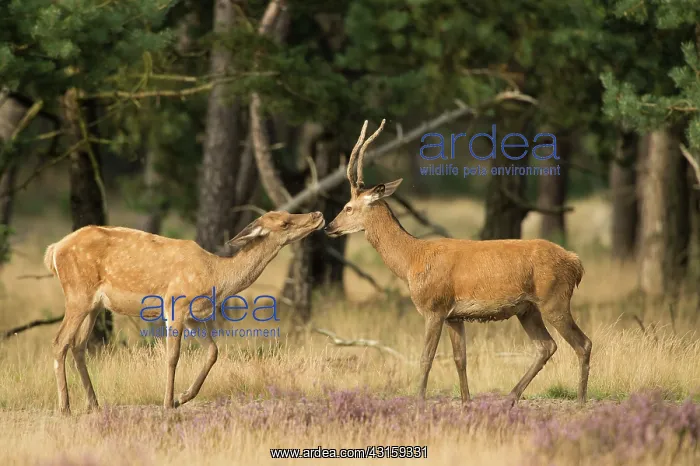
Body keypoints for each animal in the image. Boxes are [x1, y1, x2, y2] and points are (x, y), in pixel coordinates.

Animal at [43, 210, 325, 415]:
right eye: (285, 223)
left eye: (288, 213)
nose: (317, 214)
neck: (215, 276)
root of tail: (54, 250)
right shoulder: (175, 305)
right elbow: (173, 356)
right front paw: (168, 402)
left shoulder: (193, 316)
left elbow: (213, 351)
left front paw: (183, 398)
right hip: (78, 295)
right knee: (59, 342)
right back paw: (65, 407)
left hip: (94, 305)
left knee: (78, 345)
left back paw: (94, 404)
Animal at [324, 119, 592, 406]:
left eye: (348, 207)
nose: (329, 226)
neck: (411, 260)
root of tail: (576, 263)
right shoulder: (455, 315)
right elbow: (459, 358)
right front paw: (466, 403)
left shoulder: (434, 307)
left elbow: (426, 358)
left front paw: (419, 401)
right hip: (527, 309)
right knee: (546, 346)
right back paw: (510, 398)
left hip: (554, 299)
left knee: (582, 343)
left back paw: (580, 401)